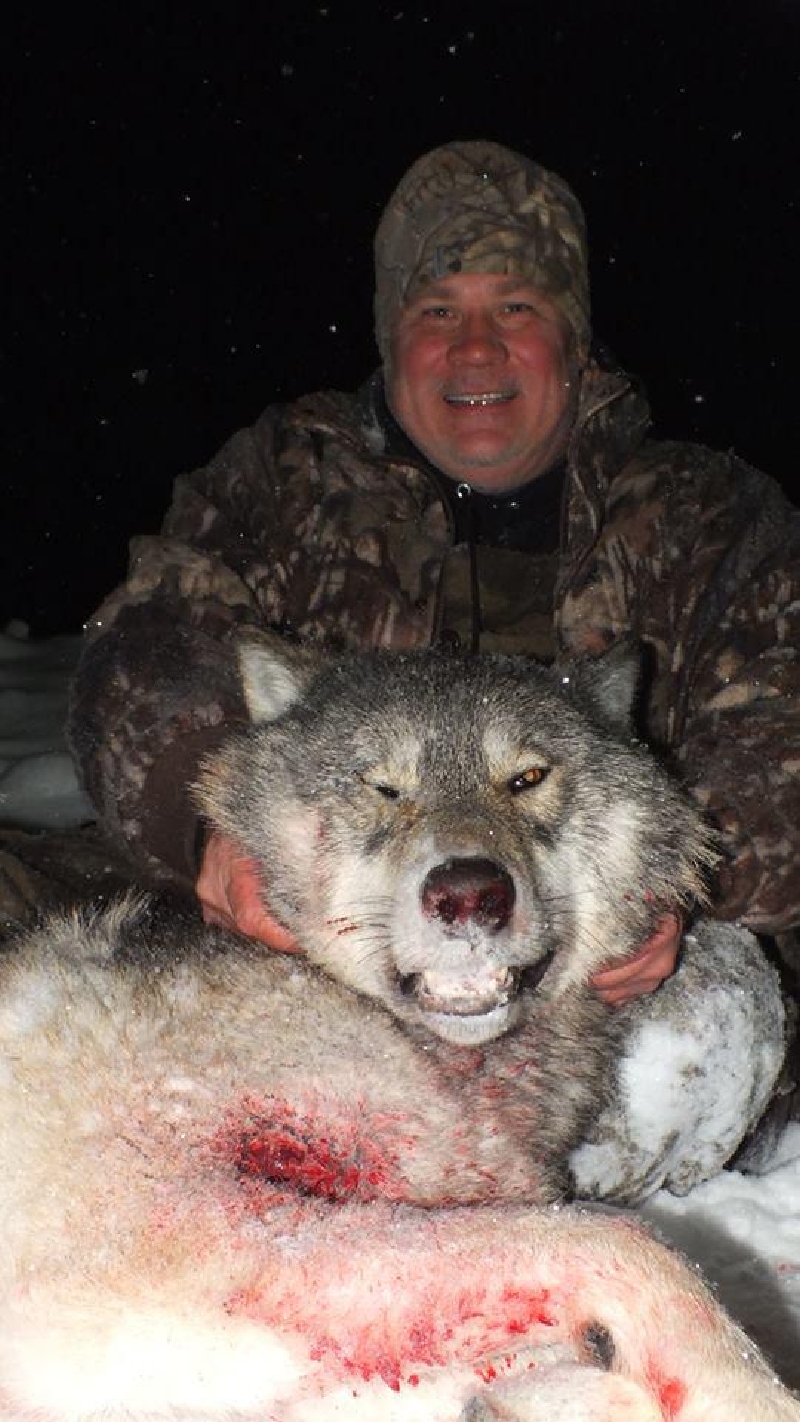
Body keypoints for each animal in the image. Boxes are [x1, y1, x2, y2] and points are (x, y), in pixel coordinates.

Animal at [0, 639, 795, 1420]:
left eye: (528, 778)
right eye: (384, 787)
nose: (469, 894)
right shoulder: (182, 1228)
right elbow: (635, 1245)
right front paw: (747, 1394)